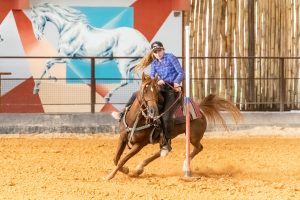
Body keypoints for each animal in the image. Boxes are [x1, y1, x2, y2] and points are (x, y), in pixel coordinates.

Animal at [104, 74, 240, 180]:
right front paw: (126, 170)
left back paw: (185, 167)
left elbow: (123, 159)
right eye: (144, 90)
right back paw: (139, 168)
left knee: (198, 148)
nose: (153, 111)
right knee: (165, 149)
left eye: (156, 91)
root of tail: (200, 109)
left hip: (192, 136)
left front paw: (109, 176)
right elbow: (116, 159)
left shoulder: (139, 144)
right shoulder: (122, 138)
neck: (136, 120)